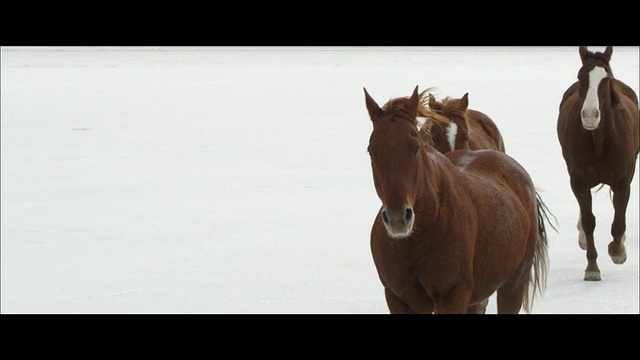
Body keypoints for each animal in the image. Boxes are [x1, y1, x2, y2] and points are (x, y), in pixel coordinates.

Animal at [364, 86, 552, 314]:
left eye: (416, 147)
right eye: (371, 151)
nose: (398, 218)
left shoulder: (454, 294)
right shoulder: (398, 298)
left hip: (513, 285)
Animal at [556, 45, 640, 282]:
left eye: (606, 78)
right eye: (581, 76)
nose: (590, 116)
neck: (599, 141)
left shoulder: (623, 181)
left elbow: (618, 222)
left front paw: (617, 251)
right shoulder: (578, 180)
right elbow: (588, 221)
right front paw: (592, 267)